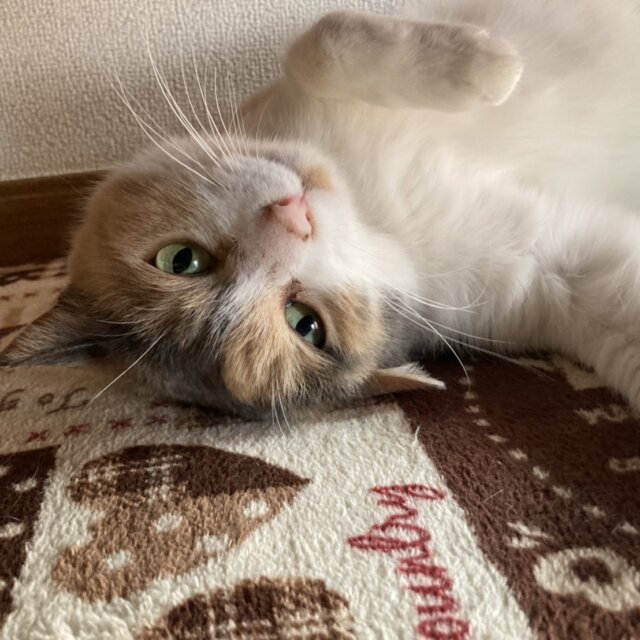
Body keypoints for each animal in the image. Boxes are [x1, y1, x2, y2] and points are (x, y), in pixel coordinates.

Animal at [3, 0, 640, 420]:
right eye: (306, 323)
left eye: (180, 260)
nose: (295, 221)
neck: (374, 212)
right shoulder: (552, 278)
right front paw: (497, 69)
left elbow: (320, 40)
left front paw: (488, 64)